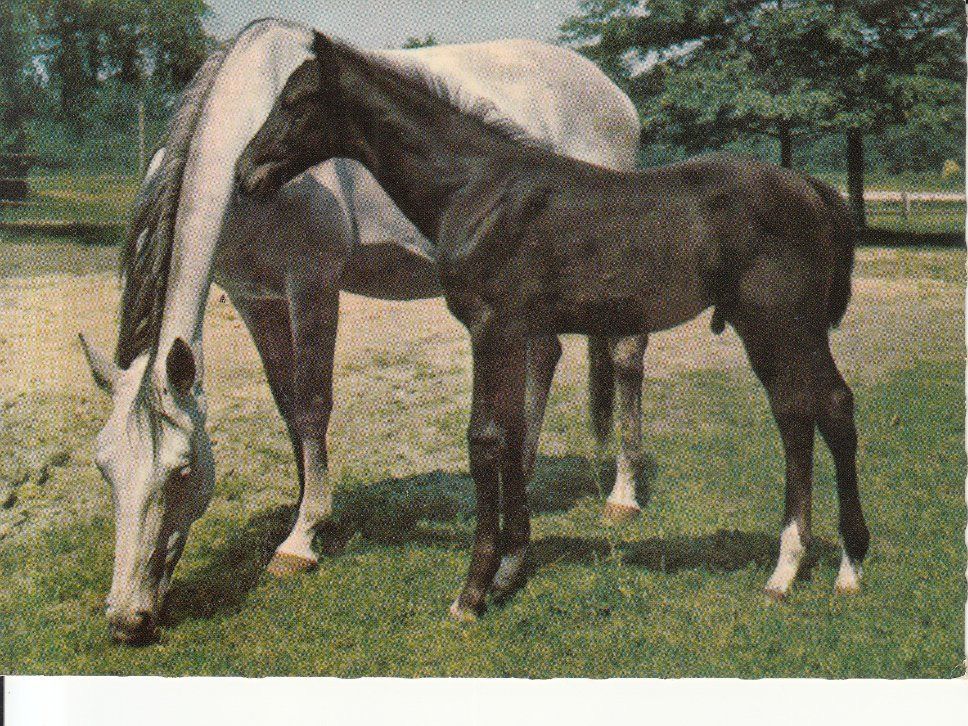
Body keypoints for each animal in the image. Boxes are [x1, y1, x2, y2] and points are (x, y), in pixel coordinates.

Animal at [80, 18, 646, 644]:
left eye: (180, 471)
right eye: (104, 467)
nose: (127, 617)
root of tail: (613, 94)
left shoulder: (312, 283)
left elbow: (311, 405)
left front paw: (301, 541)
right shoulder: (254, 299)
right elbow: (286, 407)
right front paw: (310, 514)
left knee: (624, 355)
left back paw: (623, 496)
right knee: (543, 356)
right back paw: (520, 480)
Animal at [236, 31, 871, 621]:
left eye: (296, 99)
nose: (245, 171)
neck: (476, 189)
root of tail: (816, 190)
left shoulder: (490, 328)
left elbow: (486, 440)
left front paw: (472, 591)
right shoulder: (515, 332)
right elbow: (516, 433)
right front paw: (511, 568)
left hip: (781, 325)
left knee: (822, 409)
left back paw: (827, 567)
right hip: (777, 330)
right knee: (806, 413)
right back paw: (806, 567)